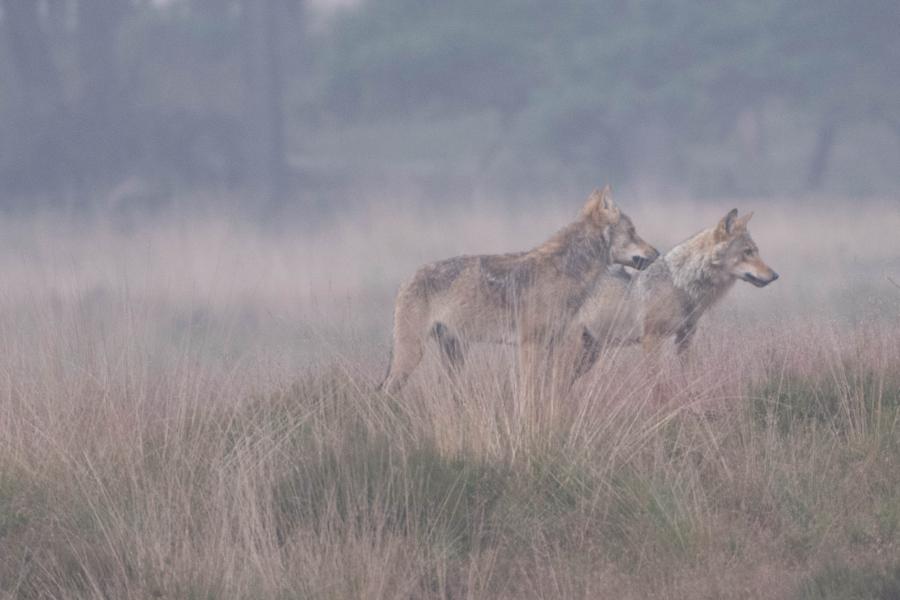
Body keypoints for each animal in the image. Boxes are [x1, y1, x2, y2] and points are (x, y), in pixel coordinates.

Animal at [379, 187, 659, 394]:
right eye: (632, 232)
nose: (656, 253)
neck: (567, 271)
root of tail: (405, 280)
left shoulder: (552, 345)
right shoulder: (529, 345)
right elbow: (528, 393)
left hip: (454, 355)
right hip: (411, 355)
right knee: (383, 393)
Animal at [572, 208, 778, 377]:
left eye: (756, 251)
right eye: (748, 252)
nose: (775, 275)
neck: (679, 285)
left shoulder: (685, 339)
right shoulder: (651, 339)